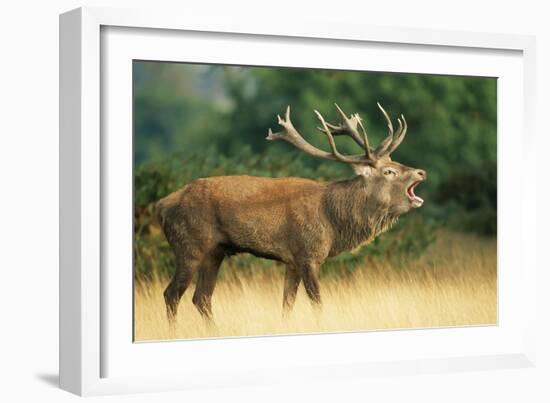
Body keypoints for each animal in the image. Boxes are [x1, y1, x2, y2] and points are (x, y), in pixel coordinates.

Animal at [157, 103, 430, 322]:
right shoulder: (308, 254)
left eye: (395, 162)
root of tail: (162, 205)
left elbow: (287, 305)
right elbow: (317, 303)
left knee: (201, 298)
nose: (421, 172)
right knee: (172, 294)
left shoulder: (291, 261)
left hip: (215, 251)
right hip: (188, 244)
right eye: (388, 171)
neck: (333, 223)